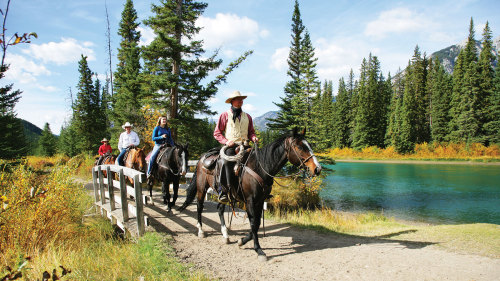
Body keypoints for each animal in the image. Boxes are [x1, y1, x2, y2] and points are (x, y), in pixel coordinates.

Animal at [178, 129, 322, 260]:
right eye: (300, 147)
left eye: (309, 145)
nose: (317, 169)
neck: (260, 167)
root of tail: (203, 157)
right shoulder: (250, 201)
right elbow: (253, 224)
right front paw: (259, 250)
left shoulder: (260, 201)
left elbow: (256, 224)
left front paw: (242, 241)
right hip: (202, 188)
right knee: (199, 206)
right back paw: (201, 231)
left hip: (224, 194)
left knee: (219, 209)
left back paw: (225, 235)